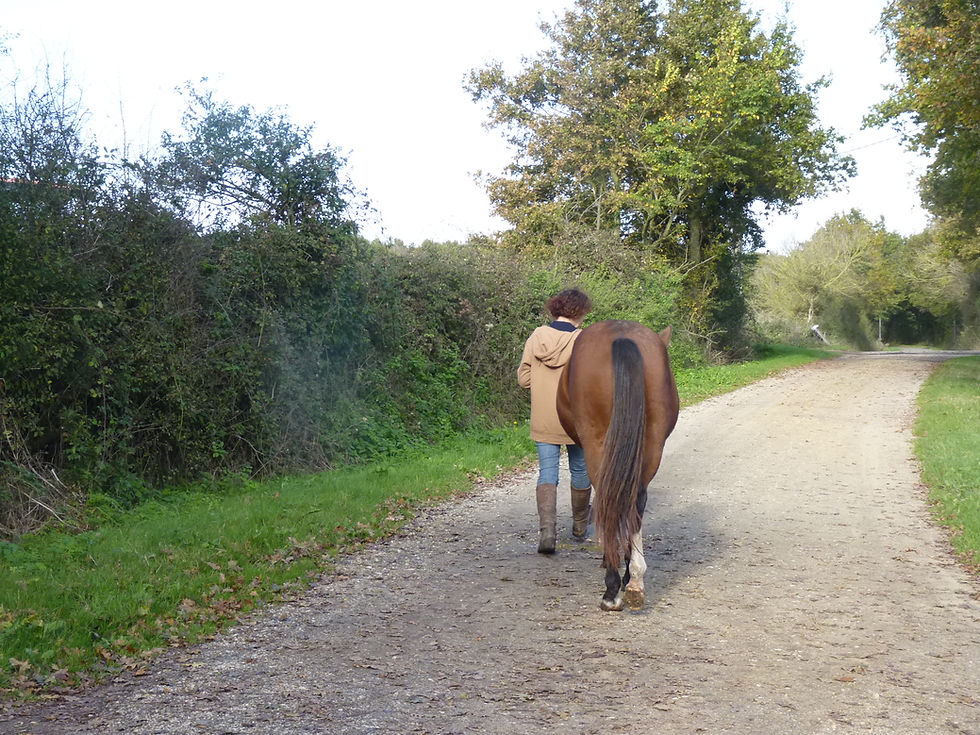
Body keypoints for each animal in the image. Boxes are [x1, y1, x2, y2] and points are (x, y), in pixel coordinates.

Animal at [556, 320, 679, 611]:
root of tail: (622, 336)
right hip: (651, 445)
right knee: (635, 500)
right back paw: (634, 580)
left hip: (596, 443)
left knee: (608, 497)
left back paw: (612, 588)